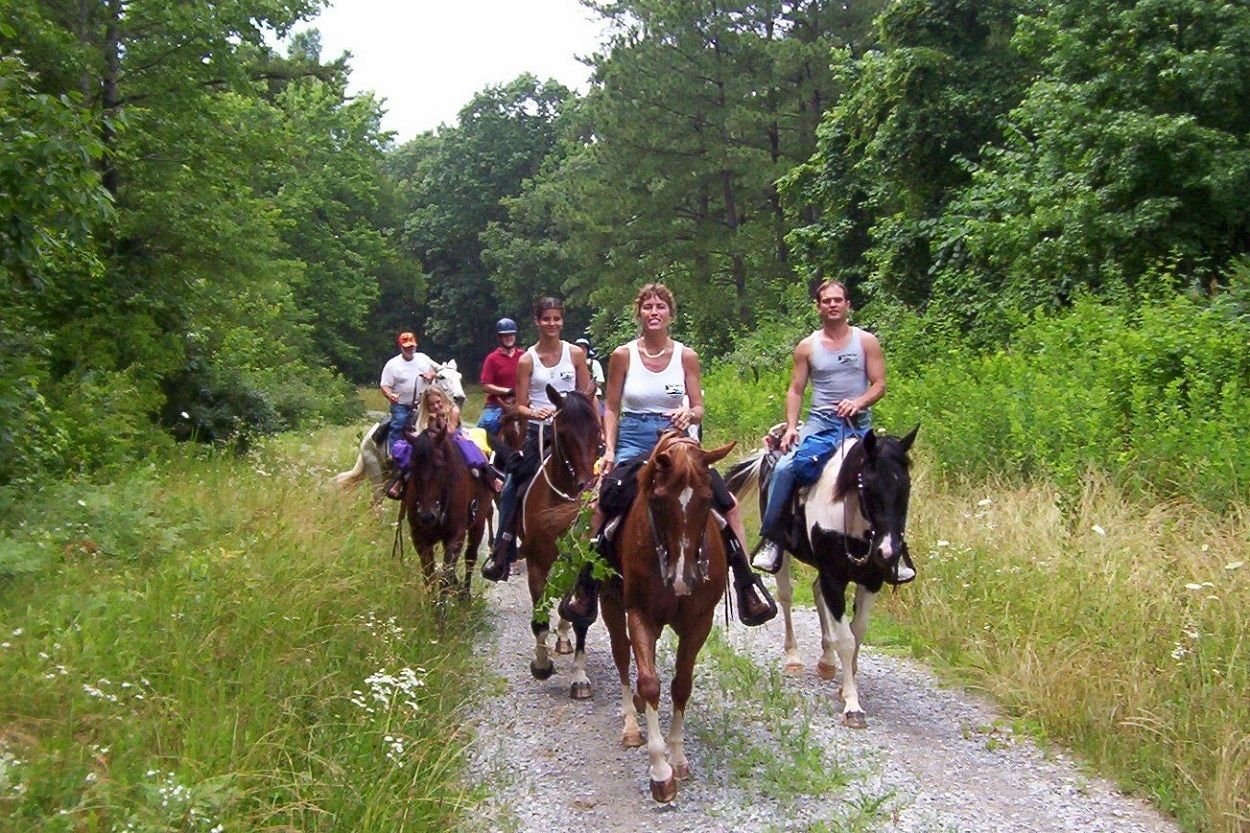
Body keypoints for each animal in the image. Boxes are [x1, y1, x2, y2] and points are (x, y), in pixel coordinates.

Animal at [405, 415, 492, 597]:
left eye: (439, 466)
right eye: (412, 466)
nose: (427, 516)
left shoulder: (456, 536)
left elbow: (446, 576)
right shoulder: (419, 538)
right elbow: (429, 576)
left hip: (478, 524)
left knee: (470, 557)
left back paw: (465, 594)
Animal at [512, 382, 600, 695]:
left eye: (597, 430)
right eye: (562, 434)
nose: (586, 485)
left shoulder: (583, 565)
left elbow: (581, 619)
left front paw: (579, 677)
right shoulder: (537, 563)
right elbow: (539, 618)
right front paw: (541, 665)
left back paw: (562, 639)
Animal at [600, 427, 735, 800]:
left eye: (707, 499)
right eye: (658, 500)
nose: (682, 578)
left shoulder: (698, 622)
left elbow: (681, 685)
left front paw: (678, 757)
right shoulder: (639, 614)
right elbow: (649, 683)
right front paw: (660, 771)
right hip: (609, 601)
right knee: (621, 654)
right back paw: (632, 726)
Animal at [725, 425, 920, 725]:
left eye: (905, 487)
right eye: (867, 485)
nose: (889, 551)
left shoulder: (871, 581)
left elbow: (857, 632)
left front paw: (845, 684)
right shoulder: (833, 577)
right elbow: (846, 639)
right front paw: (852, 705)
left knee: (817, 594)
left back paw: (827, 661)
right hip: (784, 554)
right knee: (787, 597)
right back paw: (793, 658)